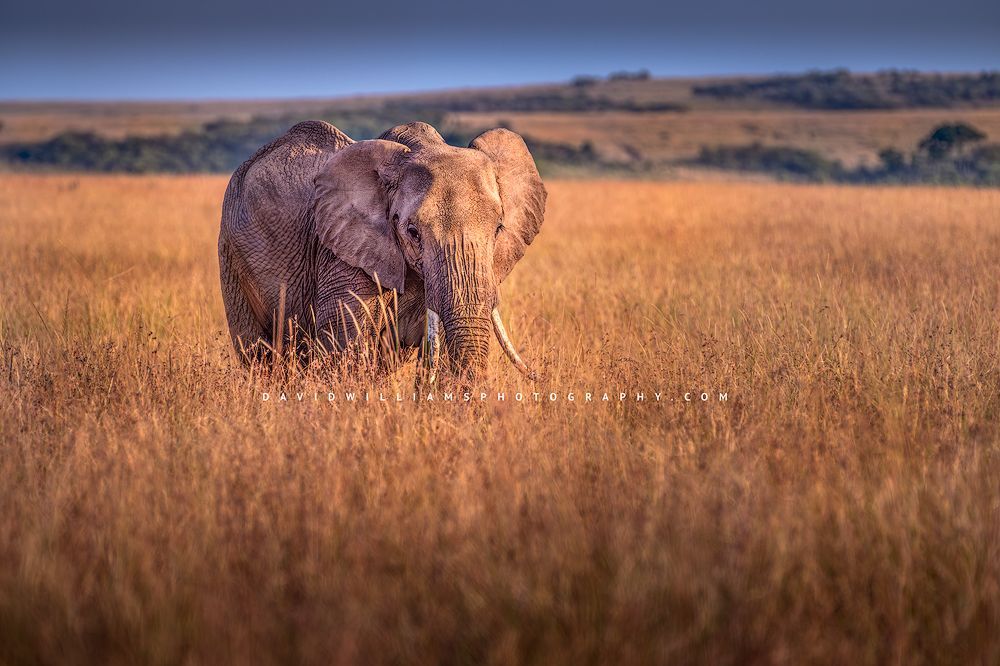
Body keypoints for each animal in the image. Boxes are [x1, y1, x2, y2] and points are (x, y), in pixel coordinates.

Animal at [218, 120, 546, 380]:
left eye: (499, 229)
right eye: (412, 232)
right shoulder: (340, 251)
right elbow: (346, 348)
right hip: (231, 255)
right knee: (258, 355)